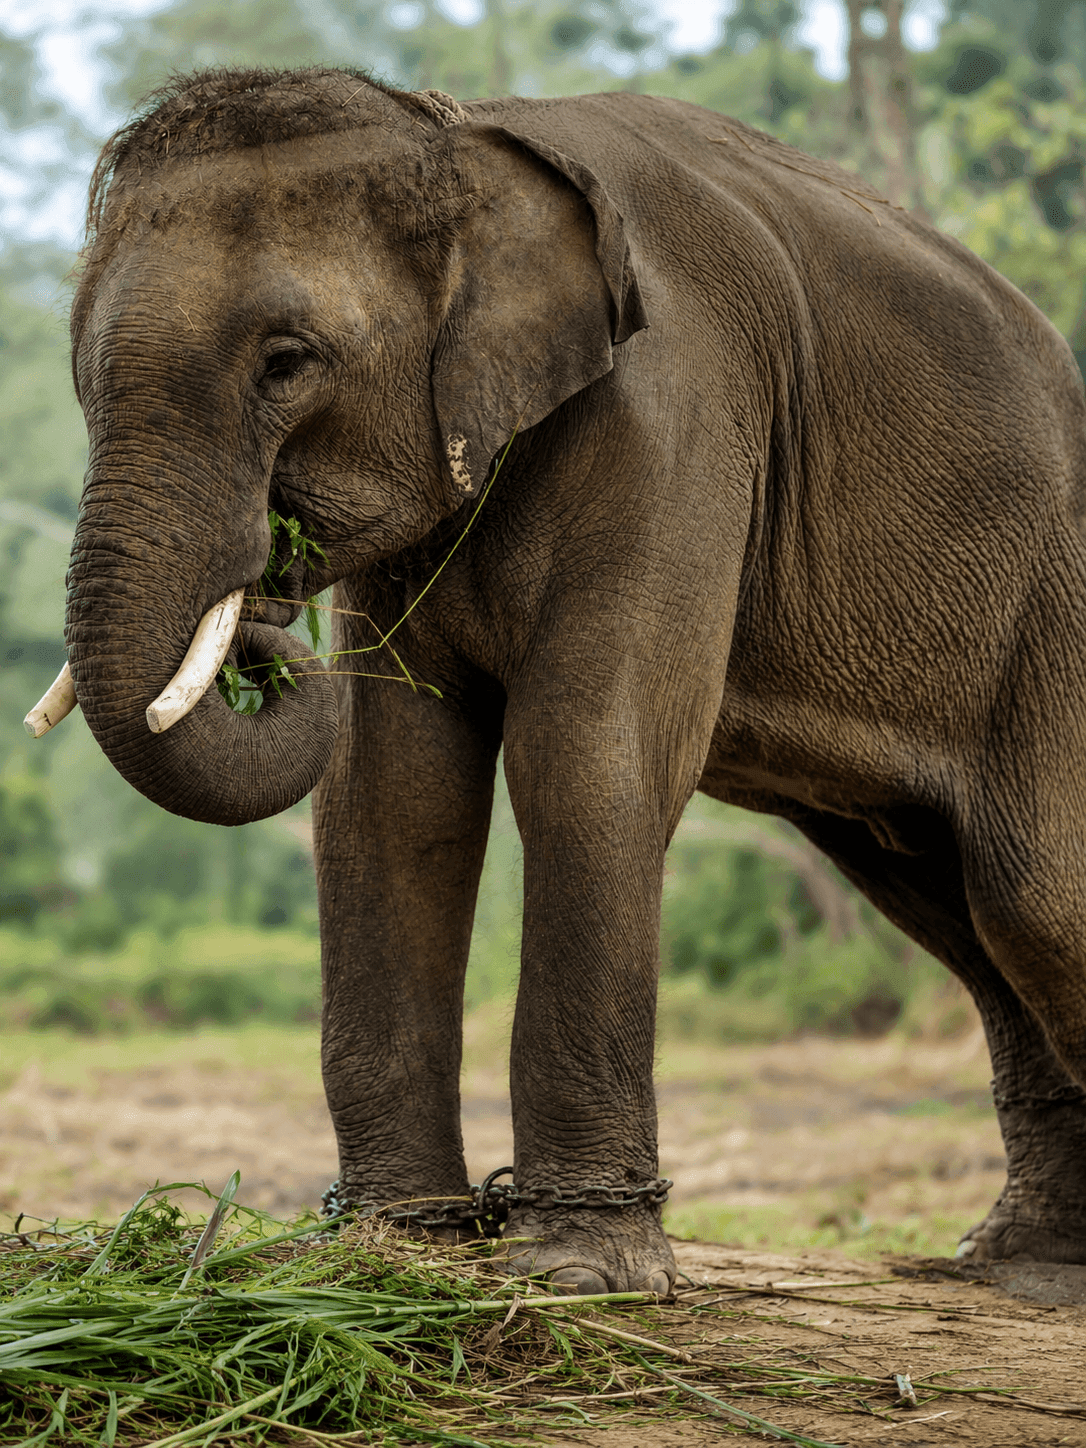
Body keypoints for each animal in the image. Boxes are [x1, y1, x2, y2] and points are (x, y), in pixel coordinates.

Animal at [35, 64, 1086, 1292]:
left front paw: (576, 1269)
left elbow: (583, 756)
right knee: (958, 906)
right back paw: (1024, 1262)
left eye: (287, 360)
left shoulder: (678, 413)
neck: (458, 134)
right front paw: (394, 1248)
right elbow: (394, 793)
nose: (262, 617)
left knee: (1031, 896)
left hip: (1054, 616)